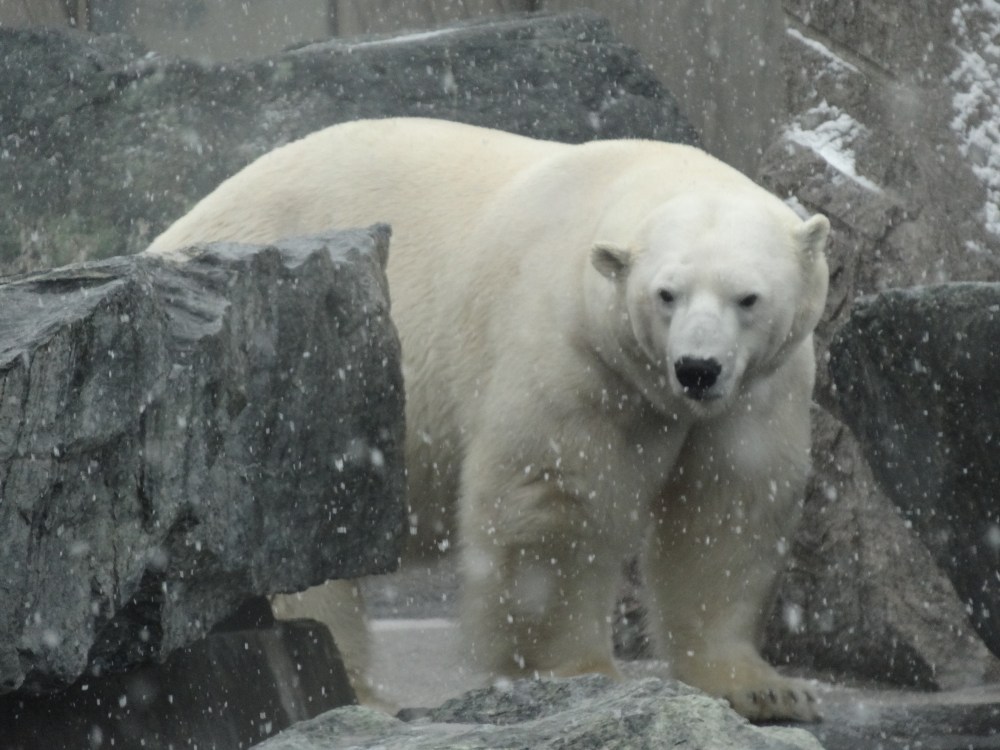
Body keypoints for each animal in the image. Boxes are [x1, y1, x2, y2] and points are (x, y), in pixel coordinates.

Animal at [146, 117, 829, 722]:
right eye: (666, 294)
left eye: (748, 298)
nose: (697, 368)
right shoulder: (570, 349)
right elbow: (556, 498)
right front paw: (581, 674)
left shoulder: (762, 387)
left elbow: (728, 509)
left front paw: (766, 689)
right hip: (303, 361)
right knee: (300, 531)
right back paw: (358, 692)